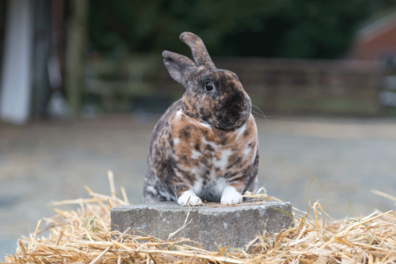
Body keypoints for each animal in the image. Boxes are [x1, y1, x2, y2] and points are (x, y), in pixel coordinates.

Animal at [143, 32, 260, 206]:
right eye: (209, 86)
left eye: (236, 78)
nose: (242, 106)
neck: (216, 132)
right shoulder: (170, 169)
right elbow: (180, 186)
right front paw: (191, 201)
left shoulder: (244, 171)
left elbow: (235, 185)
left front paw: (230, 200)